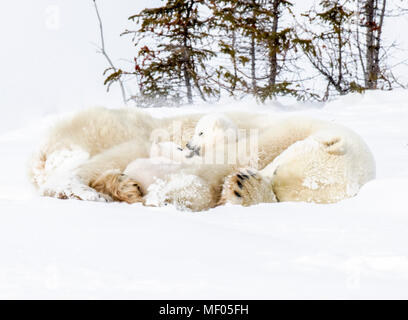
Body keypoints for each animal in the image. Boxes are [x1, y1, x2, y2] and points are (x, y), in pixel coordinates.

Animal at [28, 107, 376, 211]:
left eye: (278, 191)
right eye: (277, 170)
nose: (260, 174)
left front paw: (241, 188)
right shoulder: (285, 130)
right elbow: (228, 157)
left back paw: (121, 187)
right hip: (111, 128)